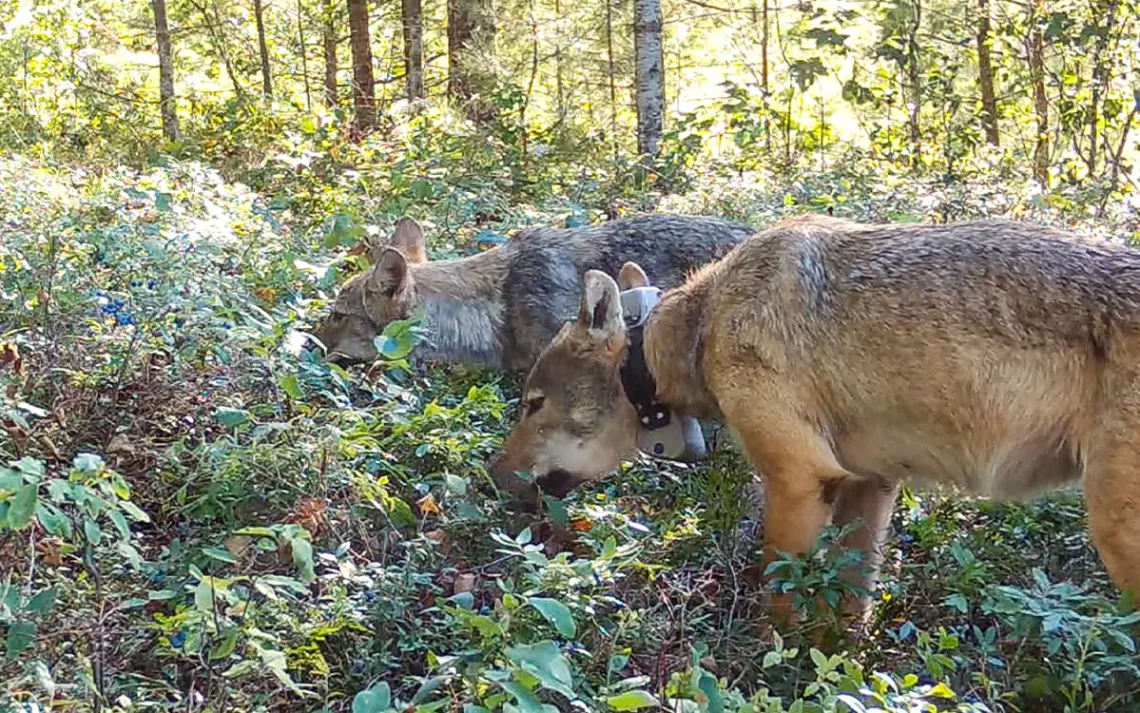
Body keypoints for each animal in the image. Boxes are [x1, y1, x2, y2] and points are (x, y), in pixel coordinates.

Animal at [490, 214, 1140, 624]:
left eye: (533, 403)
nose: (490, 476)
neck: (703, 329)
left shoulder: (799, 482)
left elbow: (776, 606)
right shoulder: (870, 486)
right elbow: (847, 617)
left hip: (1115, 533)